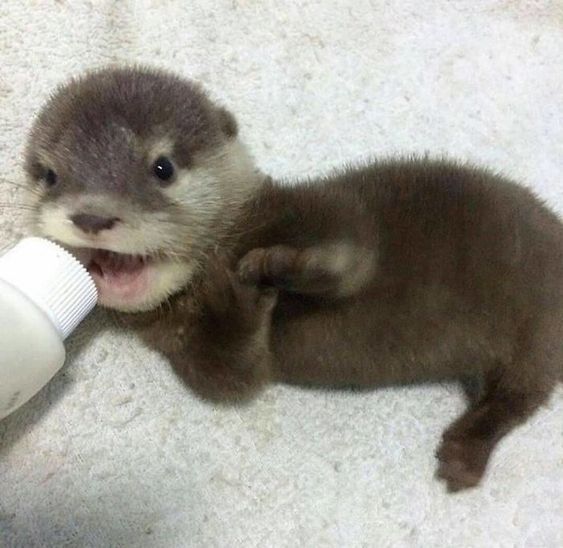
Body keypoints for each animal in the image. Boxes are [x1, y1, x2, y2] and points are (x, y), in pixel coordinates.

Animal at [23, 66, 563, 490]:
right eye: (49, 175)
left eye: (162, 167)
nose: (92, 216)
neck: (238, 233)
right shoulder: (195, 350)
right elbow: (237, 372)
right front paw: (239, 292)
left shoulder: (323, 212)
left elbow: (351, 259)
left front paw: (267, 268)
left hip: (540, 332)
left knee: (520, 396)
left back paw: (464, 453)